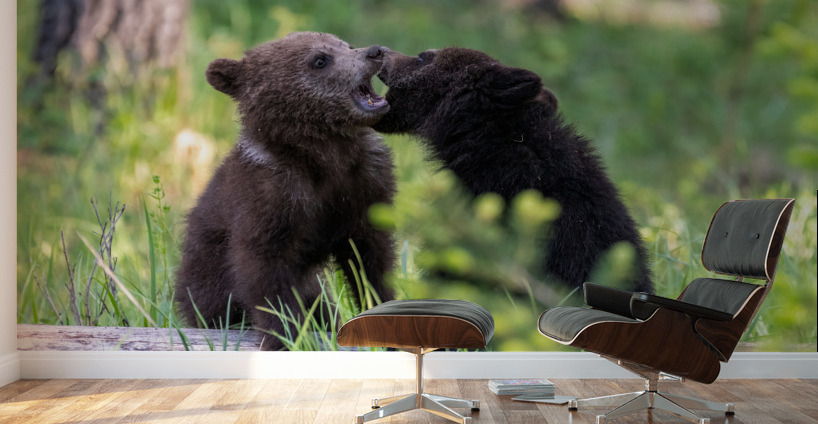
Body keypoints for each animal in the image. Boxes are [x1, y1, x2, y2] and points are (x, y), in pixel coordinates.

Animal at [175, 32, 396, 350]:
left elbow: (371, 260)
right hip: (206, 275)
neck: (325, 153)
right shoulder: (270, 196)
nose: (375, 52)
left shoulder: (364, 184)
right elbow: (264, 271)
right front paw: (285, 336)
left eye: (345, 44)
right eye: (320, 59)